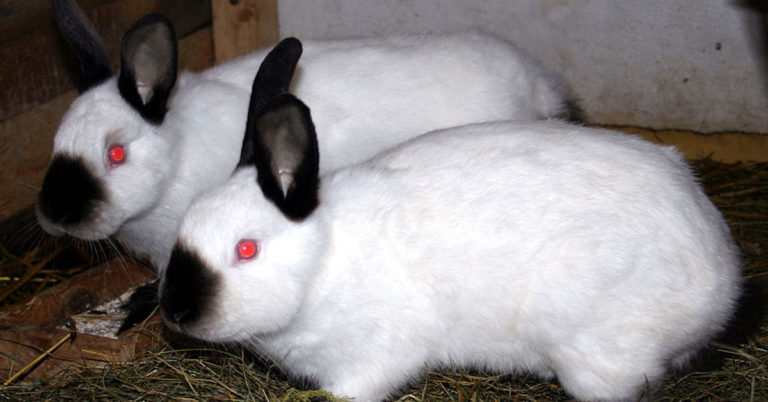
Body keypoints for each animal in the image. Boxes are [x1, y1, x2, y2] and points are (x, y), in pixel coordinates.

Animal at [158, 88, 742, 401]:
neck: (322, 262)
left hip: (599, 352)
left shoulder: (374, 355)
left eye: (246, 249)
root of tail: (722, 280)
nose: (176, 312)